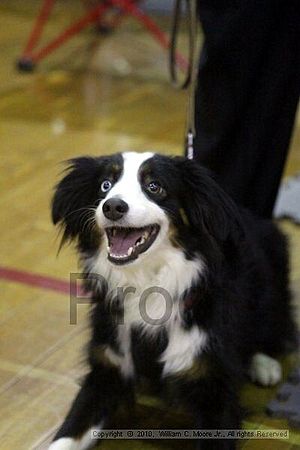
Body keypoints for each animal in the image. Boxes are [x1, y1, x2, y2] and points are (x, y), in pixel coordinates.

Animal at [49, 152, 296, 450]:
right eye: (105, 185)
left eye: (154, 186)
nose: (113, 207)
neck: (149, 284)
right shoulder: (109, 366)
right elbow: (69, 431)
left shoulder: (213, 385)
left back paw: (264, 365)